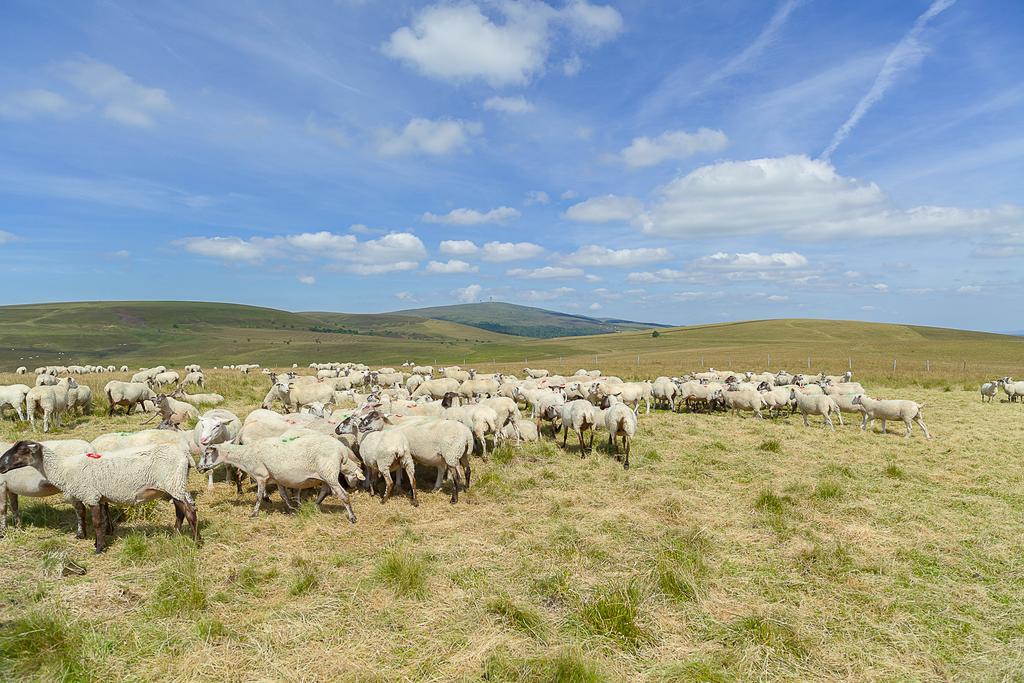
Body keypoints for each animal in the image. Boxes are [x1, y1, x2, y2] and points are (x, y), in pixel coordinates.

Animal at [196, 436, 364, 520]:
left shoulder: (261, 476)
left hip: (329, 473)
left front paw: (253, 513)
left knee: (343, 495)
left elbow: (258, 497)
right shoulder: (277, 479)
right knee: (325, 491)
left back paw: (352, 517)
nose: (198, 468)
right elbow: (283, 496)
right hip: (326, 475)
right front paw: (292, 509)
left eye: (207, 453)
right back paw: (314, 505)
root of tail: (341, 450)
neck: (244, 455)